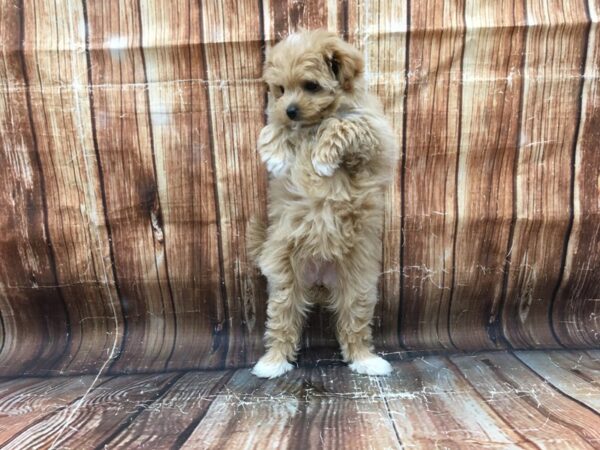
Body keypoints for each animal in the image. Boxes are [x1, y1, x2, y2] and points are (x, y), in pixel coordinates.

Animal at [248, 29, 398, 378]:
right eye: (281, 90)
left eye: (310, 86)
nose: (290, 109)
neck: (311, 125)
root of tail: (319, 277)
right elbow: (270, 127)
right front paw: (276, 155)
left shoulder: (372, 136)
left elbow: (343, 125)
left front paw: (323, 159)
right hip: (285, 280)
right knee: (282, 321)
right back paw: (272, 363)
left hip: (357, 285)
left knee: (354, 324)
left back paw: (366, 361)